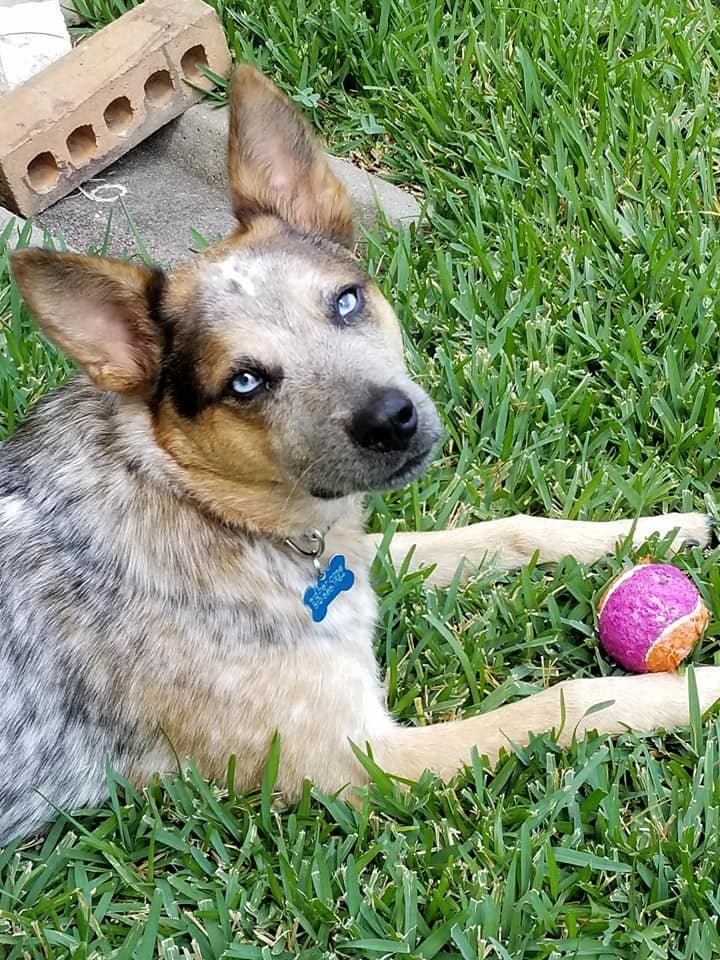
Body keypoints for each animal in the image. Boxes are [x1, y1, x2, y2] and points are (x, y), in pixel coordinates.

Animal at [1, 67, 720, 844]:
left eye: (345, 300)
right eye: (245, 382)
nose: (392, 421)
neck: (199, 502)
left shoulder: (359, 557)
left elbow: (508, 531)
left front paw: (663, 528)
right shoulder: (361, 762)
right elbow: (568, 700)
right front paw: (694, 687)